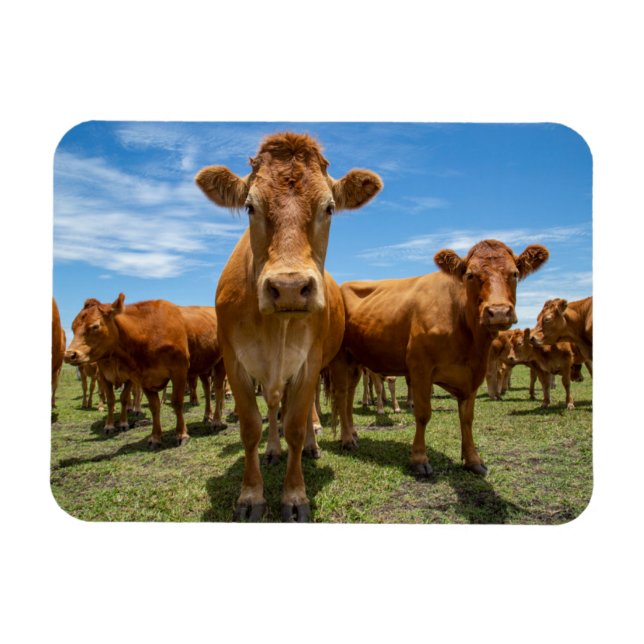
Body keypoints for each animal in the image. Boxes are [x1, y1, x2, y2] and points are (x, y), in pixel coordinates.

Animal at [64, 295, 190, 448]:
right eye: (73, 327)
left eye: (95, 326)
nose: (69, 355)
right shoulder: (122, 377)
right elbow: (116, 400)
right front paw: (110, 426)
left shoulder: (178, 371)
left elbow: (176, 402)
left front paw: (181, 434)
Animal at [196, 132, 382, 522]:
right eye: (250, 207)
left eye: (329, 208)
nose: (290, 287)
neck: (274, 330)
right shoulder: (235, 363)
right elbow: (251, 427)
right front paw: (251, 495)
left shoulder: (309, 363)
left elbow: (295, 425)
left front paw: (295, 495)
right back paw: (272, 450)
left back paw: (315, 444)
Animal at [329, 239, 549, 477]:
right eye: (470, 275)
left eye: (515, 273)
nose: (498, 312)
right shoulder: (420, 368)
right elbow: (423, 414)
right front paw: (419, 459)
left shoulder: (473, 374)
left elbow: (467, 418)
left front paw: (473, 459)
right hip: (340, 358)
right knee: (341, 395)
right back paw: (347, 439)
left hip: (355, 360)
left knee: (350, 394)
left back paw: (352, 432)